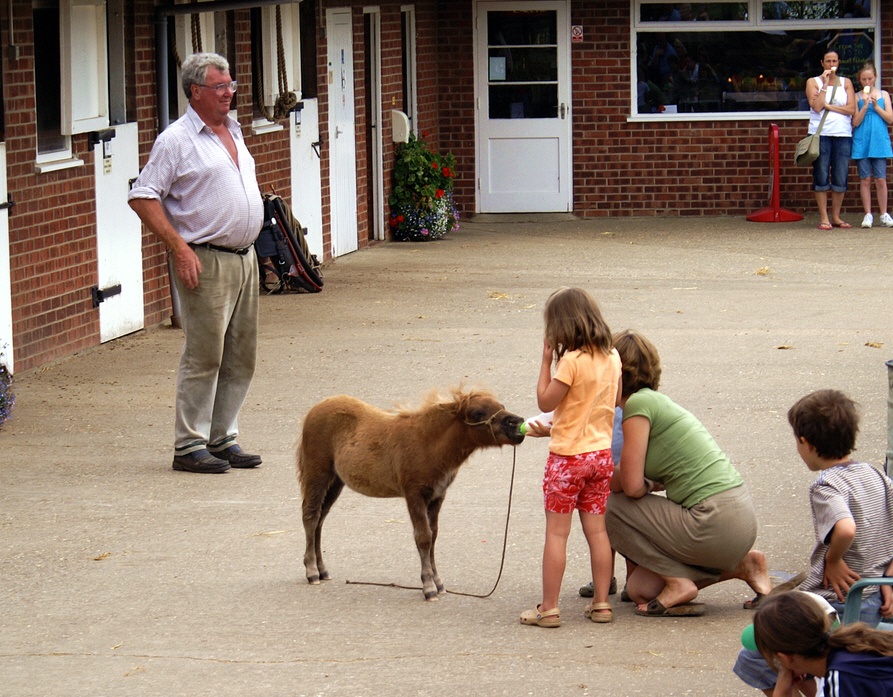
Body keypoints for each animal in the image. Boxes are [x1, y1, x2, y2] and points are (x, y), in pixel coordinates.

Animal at [297, 387, 525, 600]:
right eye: (477, 412)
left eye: (501, 405)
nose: (517, 424)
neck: (428, 444)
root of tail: (314, 410)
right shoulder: (414, 494)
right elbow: (423, 538)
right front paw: (429, 587)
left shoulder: (437, 496)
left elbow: (433, 536)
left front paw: (439, 583)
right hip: (318, 473)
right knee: (311, 515)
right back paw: (312, 572)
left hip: (336, 481)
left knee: (320, 520)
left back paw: (323, 570)